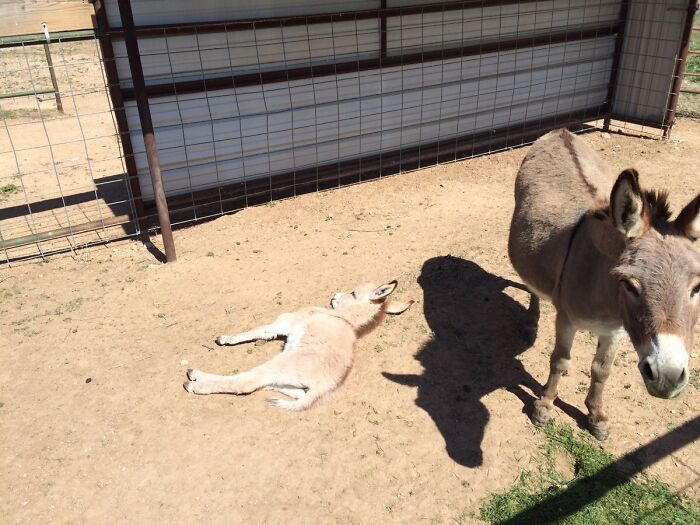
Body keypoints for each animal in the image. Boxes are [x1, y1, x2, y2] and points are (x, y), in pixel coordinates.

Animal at [183, 280, 412, 412]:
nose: (335, 295)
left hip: (280, 363)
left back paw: (194, 381)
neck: (343, 318)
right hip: (287, 378)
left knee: (247, 382)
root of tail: (327, 383)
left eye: (354, 293)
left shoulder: (285, 322)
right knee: (280, 389)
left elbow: (257, 330)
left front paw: (225, 339)